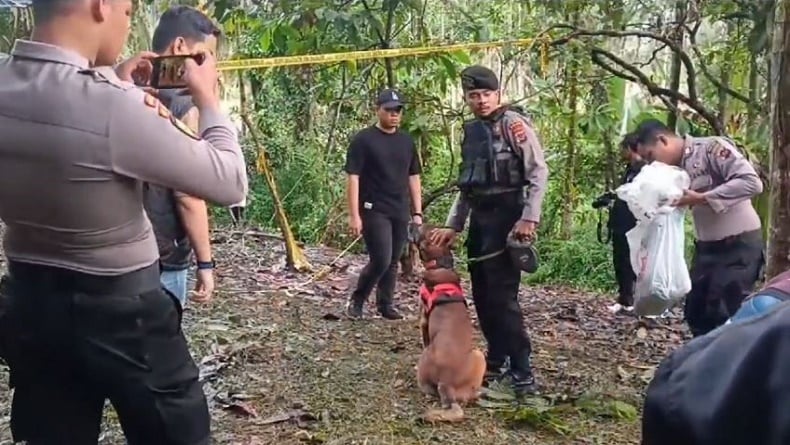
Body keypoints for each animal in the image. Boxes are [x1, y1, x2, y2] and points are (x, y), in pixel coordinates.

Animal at [414, 224, 488, 422]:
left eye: (426, 230)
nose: (414, 223)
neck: (440, 263)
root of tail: (445, 382)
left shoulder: (423, 320)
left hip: (477, 355)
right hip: (478, 355)